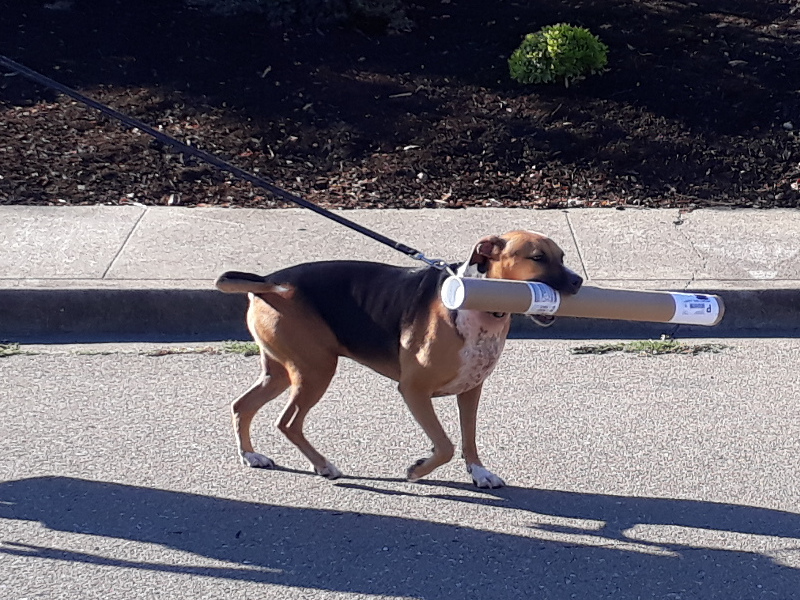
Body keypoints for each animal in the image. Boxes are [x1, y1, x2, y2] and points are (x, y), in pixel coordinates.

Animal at [216, 230, 584, 488]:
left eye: (562, 256)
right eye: (538, 257)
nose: (579, 281)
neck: (478, 304)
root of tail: (270, 283)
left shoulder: (471, 391)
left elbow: (468, 438)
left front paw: (479, 472)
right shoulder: (414, 391)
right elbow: (446, 445)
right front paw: (418, 470)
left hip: (281, 371)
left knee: (242, 405)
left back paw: (251, 455)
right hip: (315, 371)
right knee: (287, 422)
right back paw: (323, 465)